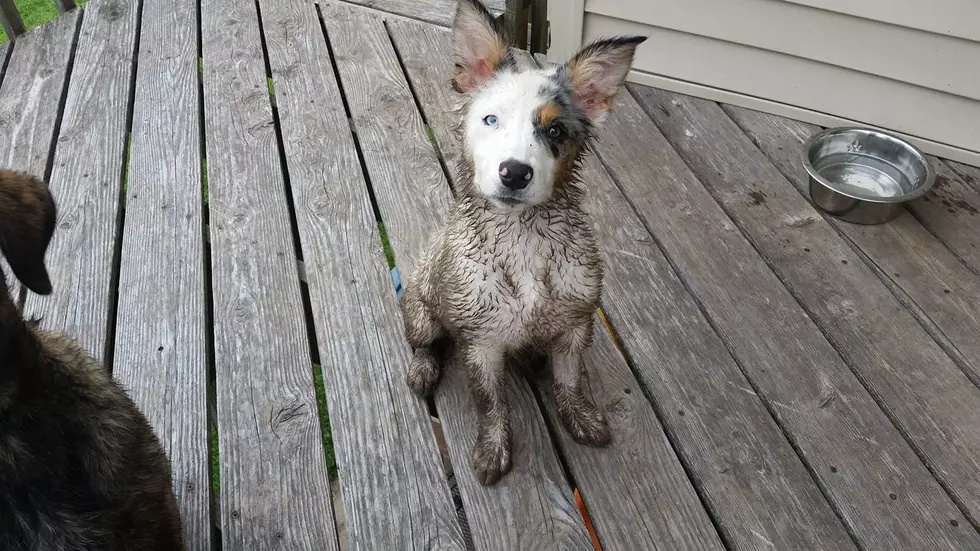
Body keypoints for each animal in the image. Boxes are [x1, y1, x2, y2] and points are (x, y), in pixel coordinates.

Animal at [402, 0, 648, 486]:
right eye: (490, 119)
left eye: (555, 132)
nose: (514, 172)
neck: (525, 240)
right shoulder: (480, 342)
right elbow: (491, 404)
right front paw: (493, 451)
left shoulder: (575, 324)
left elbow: (569, 381)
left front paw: (580, 418)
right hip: (420, 307)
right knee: (424, 341)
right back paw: (423, 368)